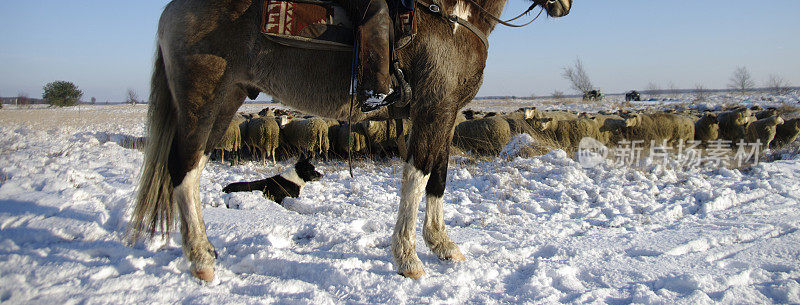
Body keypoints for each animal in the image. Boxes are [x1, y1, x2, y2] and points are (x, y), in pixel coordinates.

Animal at [128, 0, 572, 282]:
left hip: (225, 101)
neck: (452, 16)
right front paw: (408, 257)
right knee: (182, 171)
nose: (564, 6)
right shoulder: (433, 108)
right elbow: (417, 177)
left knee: (193, 170)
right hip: (203, 101)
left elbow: (439, 178)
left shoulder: (445, 114)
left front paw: (442, 245)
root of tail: (174, 10)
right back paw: (201, 259)